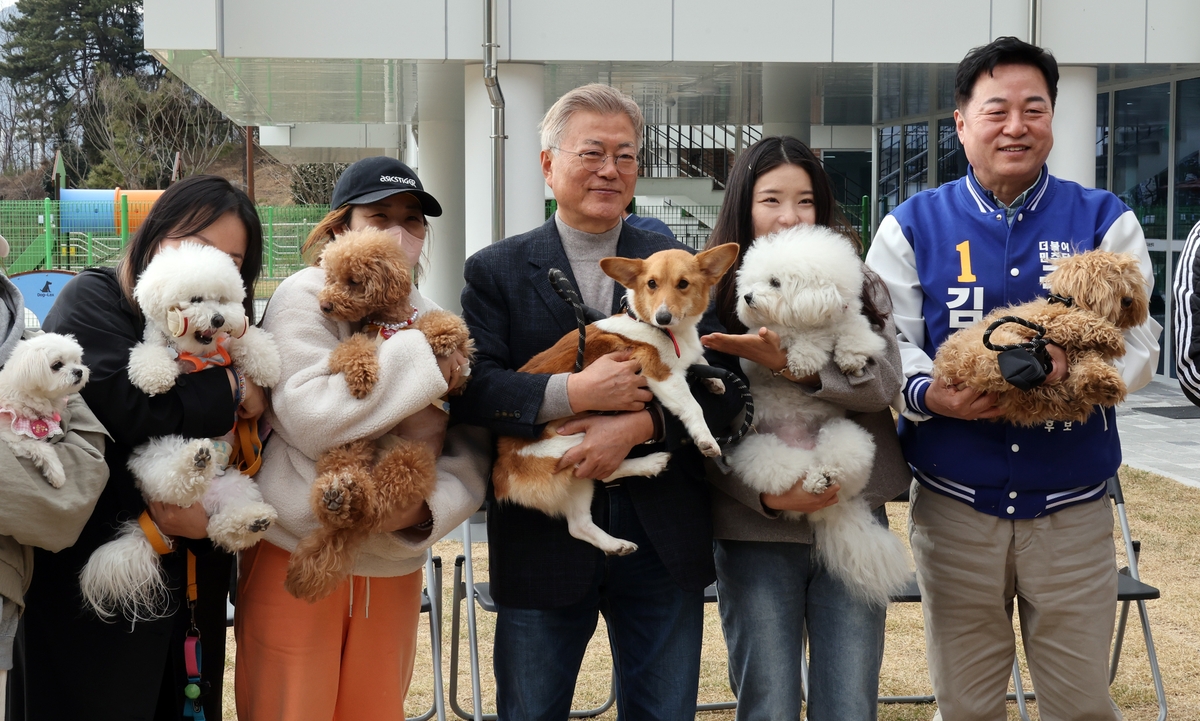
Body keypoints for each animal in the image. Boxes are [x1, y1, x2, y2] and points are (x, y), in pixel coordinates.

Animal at [0, 333, 88, 487]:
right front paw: (57, 474)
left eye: (75, 360)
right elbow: (43, 447)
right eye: (57, 365)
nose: (79, 371)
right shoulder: (10, 439)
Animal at [82, 242, 283, 619]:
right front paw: (155, 377)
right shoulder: (156, 345)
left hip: (235, 485)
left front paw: (267, 365)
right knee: (175, 484)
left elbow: (251, 341)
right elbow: (149, 354)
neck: (199, 352)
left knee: (219, 527)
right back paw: (195, 462)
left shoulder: (229, 345)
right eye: (195, 299)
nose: (218, 319)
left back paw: (250, 521)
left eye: (221, 300)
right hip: (157, 458)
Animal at [489, 244, 739, 554]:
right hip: (576, 442)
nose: (663, 318)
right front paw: (706, 439)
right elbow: (693, 406)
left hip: (577, 482)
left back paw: (615, 544)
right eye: (651, 284)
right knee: (603, 473)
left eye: (683, 284)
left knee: (579, 523)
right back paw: (651, 463)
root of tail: (503, 477)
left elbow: (701, 359)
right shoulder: (661, 375)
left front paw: (714, 380)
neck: (662, 330)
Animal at [720, 226, 907, 607]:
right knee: (784, 475)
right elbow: (798, 339)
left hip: (847, 437)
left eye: (775, 282)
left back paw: (823, 477)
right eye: (752, 280)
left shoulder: (854, 324)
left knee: (837, 464)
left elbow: (855, 336)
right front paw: (805, 356)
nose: (747, 297)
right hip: (760, 451)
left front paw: (848, 358)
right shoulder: (761, 348)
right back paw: (810, 481)